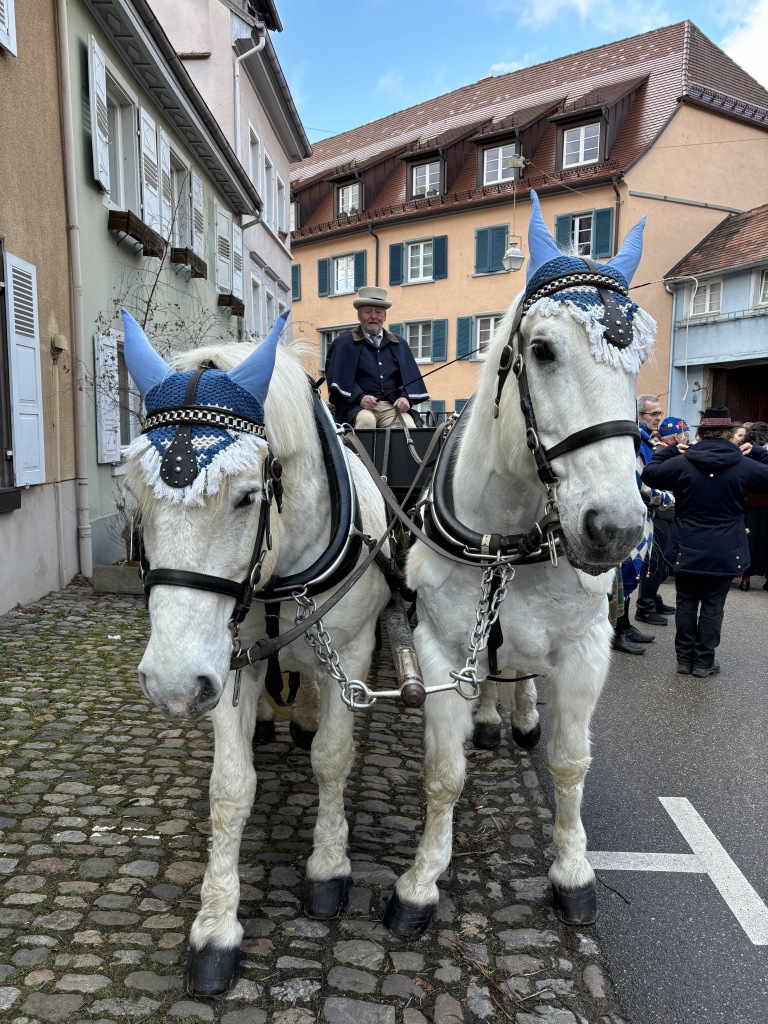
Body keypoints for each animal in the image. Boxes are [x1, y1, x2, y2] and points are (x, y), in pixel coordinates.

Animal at [122, 309, 393, 991]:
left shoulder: (352, 653)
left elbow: (332, 757)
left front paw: (329, 867)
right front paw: (217, 923)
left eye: (247, 495)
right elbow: (230, 787)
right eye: (137, 495)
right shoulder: (223, 667)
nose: (170, 685)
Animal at [385, 190, 655, 937]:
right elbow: (443, 772)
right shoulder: (442, 649)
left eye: (640, 357)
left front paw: (572, 871)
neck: (509, 539)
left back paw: (525, 714)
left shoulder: (587, 647)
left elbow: (569, 763)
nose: (616, 529)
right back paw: (488, 718)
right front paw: (421, 880)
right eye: (542, 349)